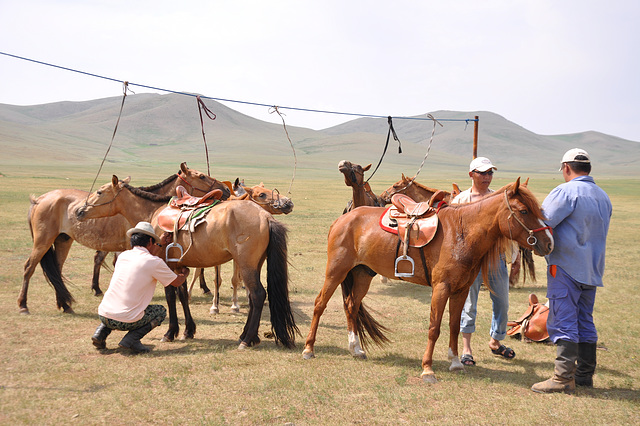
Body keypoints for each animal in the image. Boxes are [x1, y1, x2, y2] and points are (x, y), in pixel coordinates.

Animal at [18, 165, 229, 314]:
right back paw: (23, 305)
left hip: (62, 240)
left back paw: (65, 305)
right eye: (201, 176)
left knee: (57, 270)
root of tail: (39, 199)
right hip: (43, 241)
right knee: (29, 267)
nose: (226, 190)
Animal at [77, 175, 300, 348]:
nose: (80, 211)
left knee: (258, 294)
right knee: (254, 298)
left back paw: (246, 340)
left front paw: (170, 333)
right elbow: (183, 295)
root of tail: (265, 217)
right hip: (255, 265)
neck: (155, 213)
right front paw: (188, 331)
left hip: (246, 265)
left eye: (99, 192)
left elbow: (170, 297)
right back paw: (247, 336)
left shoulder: (165, 265)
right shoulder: (179, 266)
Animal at [302, 178, 552, 384]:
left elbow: (454, 326)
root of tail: (342, 219)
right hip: (336, 271)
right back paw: (308, 348)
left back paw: (355, 349)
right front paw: (427, 369)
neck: (462, 232)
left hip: (363, 275)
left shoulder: (460, 290)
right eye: (524, 210)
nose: (549, 243)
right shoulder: (441, 288)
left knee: (352, 306)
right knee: (319, 304)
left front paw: (455, 362)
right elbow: (434, 328)